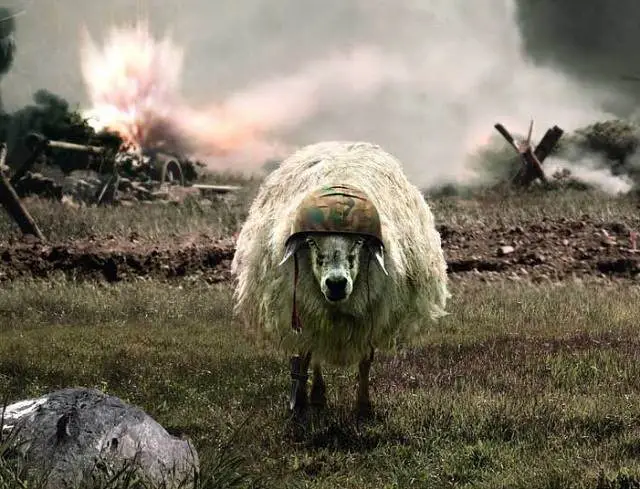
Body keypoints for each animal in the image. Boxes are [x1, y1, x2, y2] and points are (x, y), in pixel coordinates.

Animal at [231, 140, 450, 416]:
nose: (336, 284)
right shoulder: (303, 308)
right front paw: (301, 401)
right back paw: (316, 395)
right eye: (311, 241)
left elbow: (365, 361)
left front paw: (363, 407)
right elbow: (305, 353)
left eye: (358, 242)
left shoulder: (372, 312)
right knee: (313, 351)